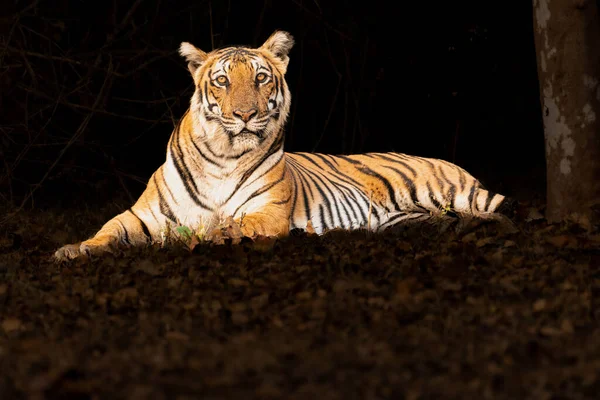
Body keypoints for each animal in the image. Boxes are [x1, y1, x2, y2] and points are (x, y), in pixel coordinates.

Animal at [55, 32, 510, 262]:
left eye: (260, 78)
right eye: (222, 81)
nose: (244, 115)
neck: (223, 157)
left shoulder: (267, 212)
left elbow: (227, 226)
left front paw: (198, 239)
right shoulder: (144, 214)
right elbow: (108, 229)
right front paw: (73, 250)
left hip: (452, 192)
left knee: (497, 209)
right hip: (410, 218)